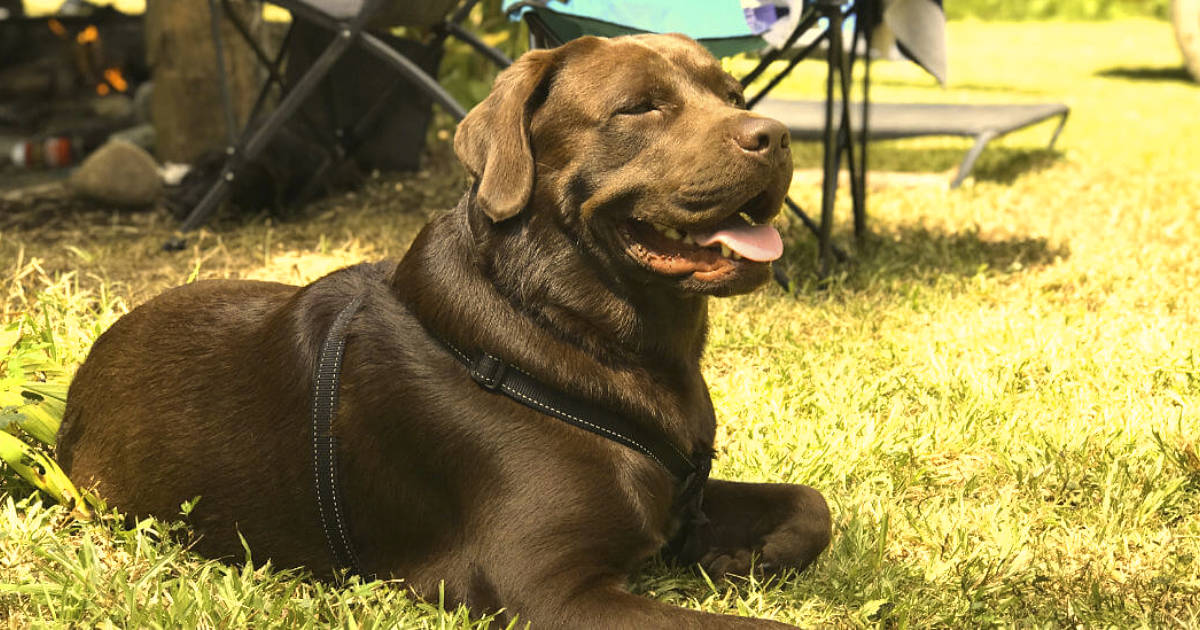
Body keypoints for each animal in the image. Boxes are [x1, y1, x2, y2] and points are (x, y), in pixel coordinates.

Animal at [60, 34, 830, 628]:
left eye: (733, 92)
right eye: (640, 106)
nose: (775, 136)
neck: (565, 325)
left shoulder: (679, 497)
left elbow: (812, 504)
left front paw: (747, 556)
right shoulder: (539, 585)